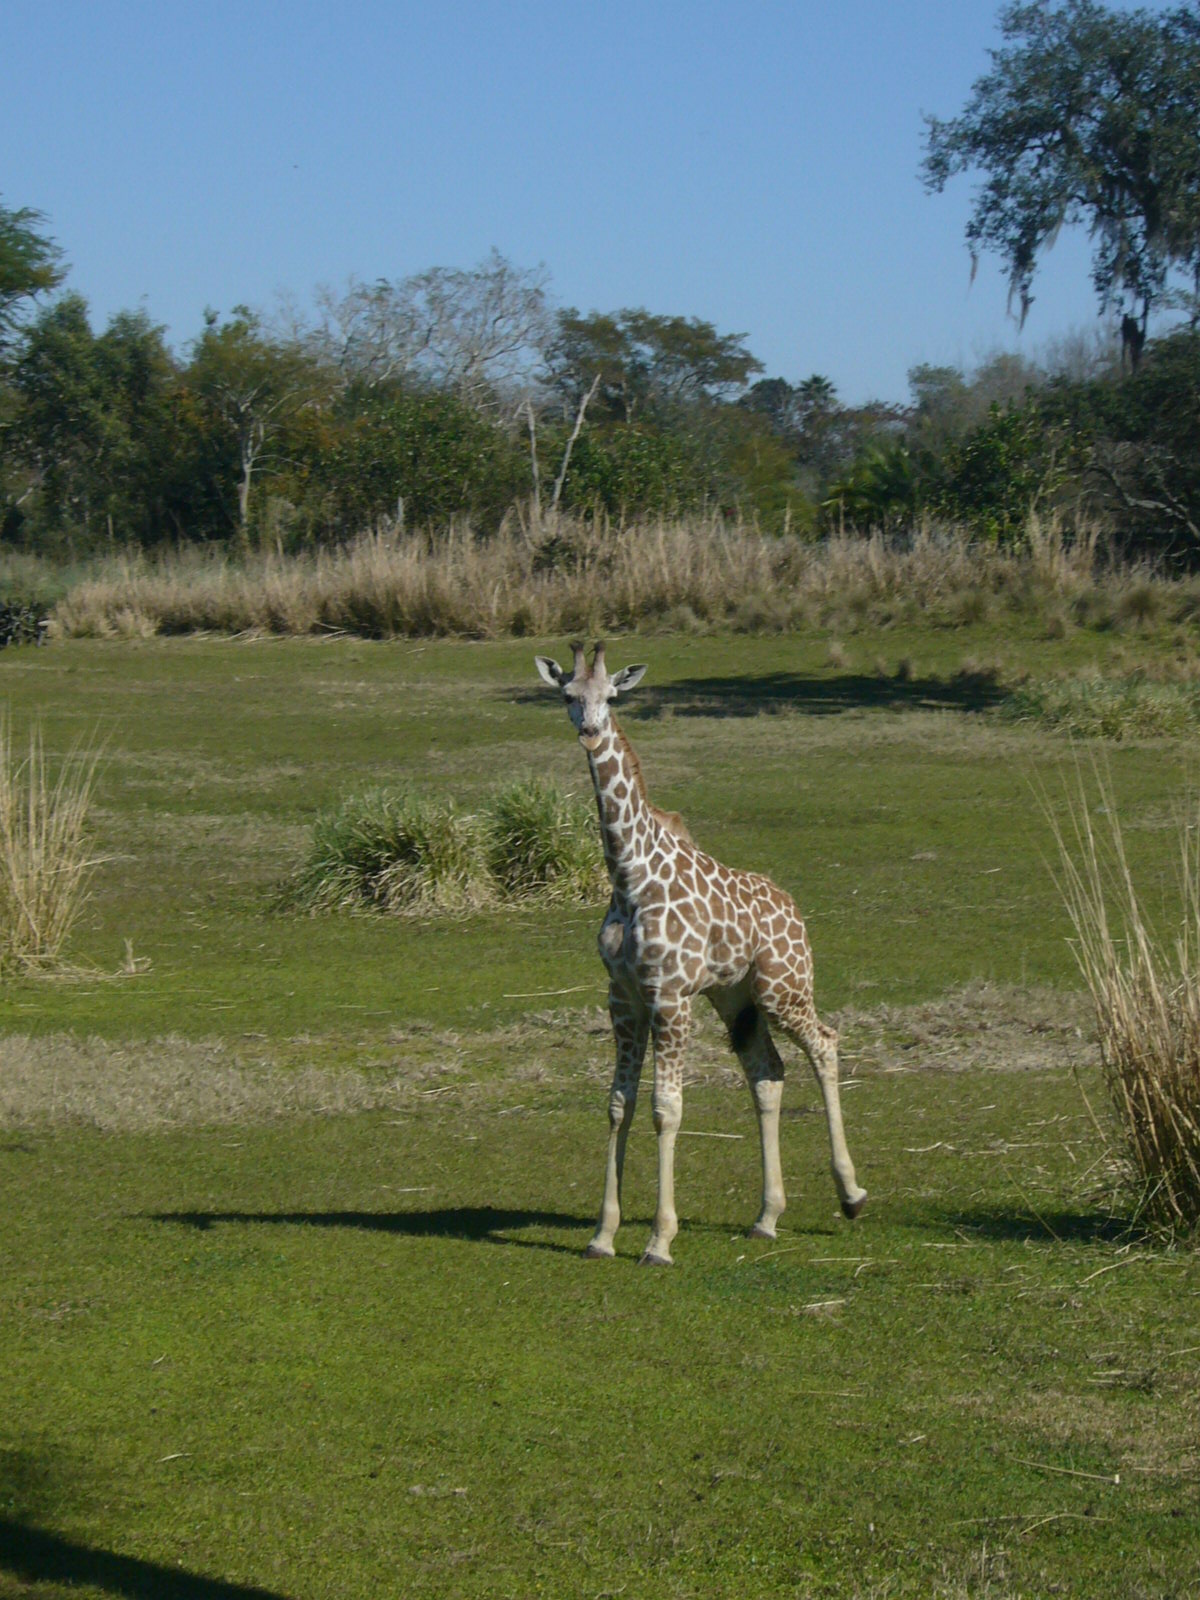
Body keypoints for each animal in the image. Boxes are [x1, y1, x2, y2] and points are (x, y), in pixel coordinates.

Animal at [534, 643, 864, 1267]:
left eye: (610, 695)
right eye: (567, 695)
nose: (589, 731)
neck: (629, 877)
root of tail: (795, 909)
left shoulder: (669, 997)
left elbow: (666, 1109)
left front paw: (659, 1241)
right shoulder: (624, 997)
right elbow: (618, 1104)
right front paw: (602, 1235)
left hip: (783, 987)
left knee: (825, 1044)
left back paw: (853, 1195)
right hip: (735, 999)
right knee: (767, 1073)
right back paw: (766, 1218)